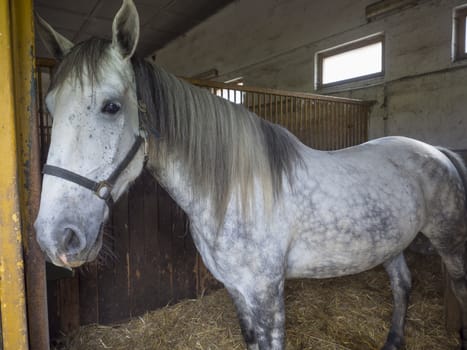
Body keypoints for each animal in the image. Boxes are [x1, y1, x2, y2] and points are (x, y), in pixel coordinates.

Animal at [34, 1, 467, 348]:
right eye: (50, 108)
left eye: (111, 106)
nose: (56, 237)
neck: (236, 194)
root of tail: (437, 152)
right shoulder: (238, 290)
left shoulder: (267, 293)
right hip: (391, 243)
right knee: (403, 285)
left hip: (450, 243)